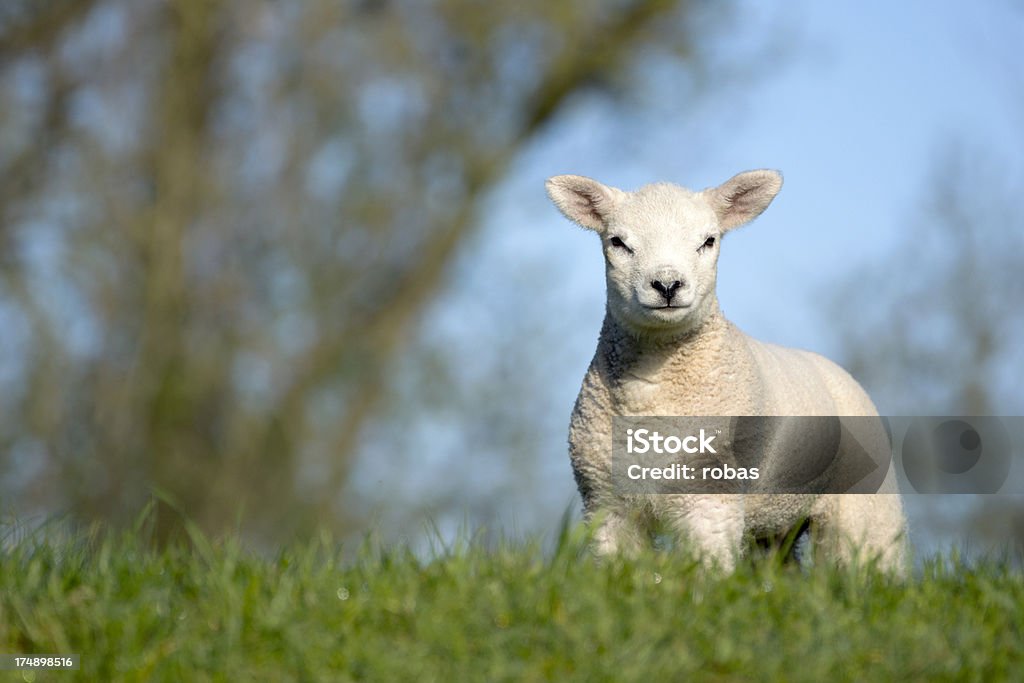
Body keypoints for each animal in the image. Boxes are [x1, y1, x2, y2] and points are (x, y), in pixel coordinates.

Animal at [548, 169, 909, 573]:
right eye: (617, 242)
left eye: (708, 240)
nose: (667, 285)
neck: (652, 392)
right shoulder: (607, 502)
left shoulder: (710, 493)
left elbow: (709, 569)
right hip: (775, 521)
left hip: (866, 502)